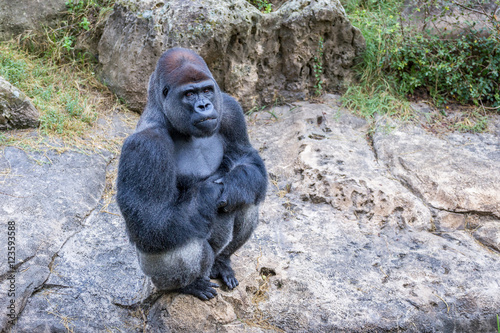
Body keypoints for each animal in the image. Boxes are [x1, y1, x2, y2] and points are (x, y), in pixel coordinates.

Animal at [116, 48, 268, 300]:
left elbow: (247, 159)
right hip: (153, 275)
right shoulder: (145, 147)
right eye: (189, 94)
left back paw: (222, 262)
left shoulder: (230, 108)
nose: (204, 106)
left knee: (248, 200)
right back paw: (188, 286)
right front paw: (210, 191)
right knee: (178, 241)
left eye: (206, 90)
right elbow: (149, 221)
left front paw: (234, 183)